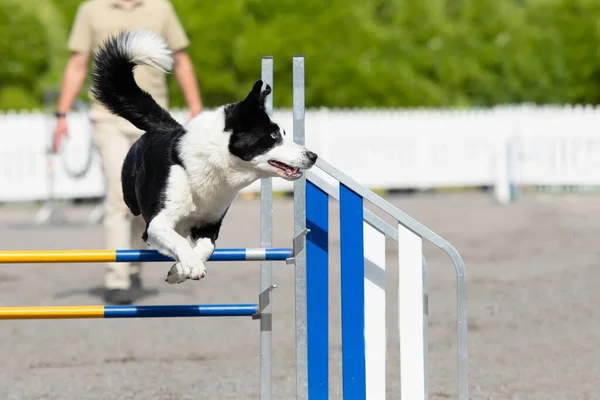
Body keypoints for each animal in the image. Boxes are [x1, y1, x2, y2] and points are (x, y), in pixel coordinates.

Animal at [90, 30, 318, 284]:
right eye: (274, 136)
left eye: (284, 134)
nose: (313, 156)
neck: (213, 164)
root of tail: (165, 126)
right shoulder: (158, 222)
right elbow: (178, 241)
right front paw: (190, 266)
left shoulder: (210, 225)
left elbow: (206, 247)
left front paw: (179, 271)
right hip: (132, 197)